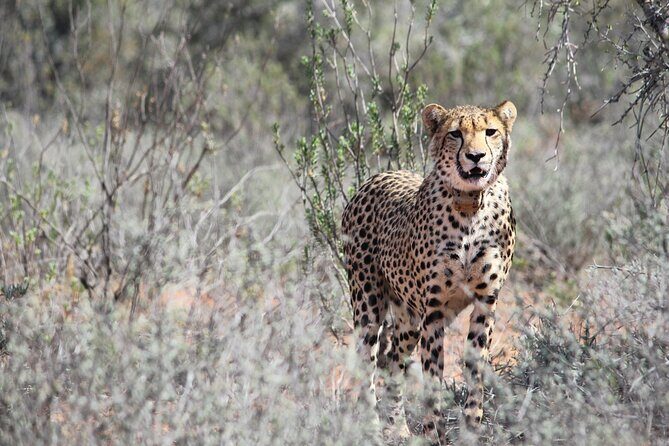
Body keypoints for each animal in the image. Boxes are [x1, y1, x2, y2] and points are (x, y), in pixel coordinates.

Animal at [341, 100, 517, 442]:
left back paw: (397, 427)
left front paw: (470, 430)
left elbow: (474, 371)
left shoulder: (485, 303)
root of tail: (381, 174)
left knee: (393, 360)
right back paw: (372, 428)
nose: (476, 156)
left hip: (408, 317)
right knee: (367, 361)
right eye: (455, 134)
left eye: (490, 131)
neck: (469, 205)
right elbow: (433, 377)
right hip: (368, 304)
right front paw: (435, 433)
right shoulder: (433, 310)